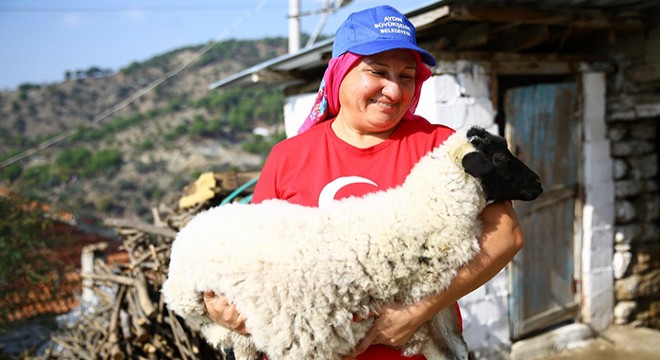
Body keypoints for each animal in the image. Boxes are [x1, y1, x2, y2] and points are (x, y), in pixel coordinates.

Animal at [160, 126, 540, 360]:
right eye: (501, 158)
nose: (538, 183)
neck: (418, 214)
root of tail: (191, 228)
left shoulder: (434, 315)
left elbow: (455, 349)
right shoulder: (307, 343)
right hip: (202, 305)